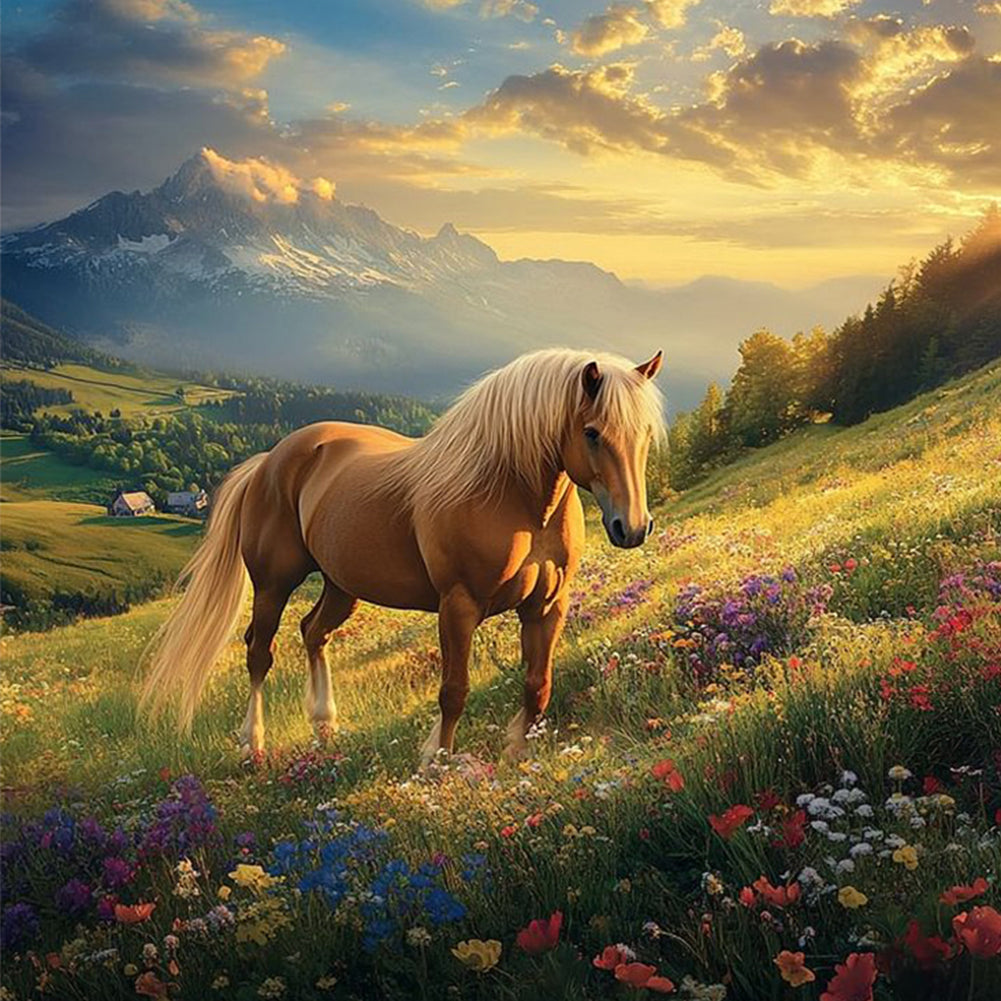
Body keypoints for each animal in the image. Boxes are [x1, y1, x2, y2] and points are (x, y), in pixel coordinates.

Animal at [140, 347, 665, 763]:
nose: (632, 527)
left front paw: (519, 754)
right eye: (593, 432)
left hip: (342, 586)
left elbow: (538, 685)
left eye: (643, 433)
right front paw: (436, 760)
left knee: (313, 632)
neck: (509, 496)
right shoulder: (458, 607)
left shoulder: (547, 607)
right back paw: (253, 742)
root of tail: (269, 461)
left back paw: (325, 726)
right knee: (259, 654)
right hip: (273, 584)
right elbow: (454, 691)